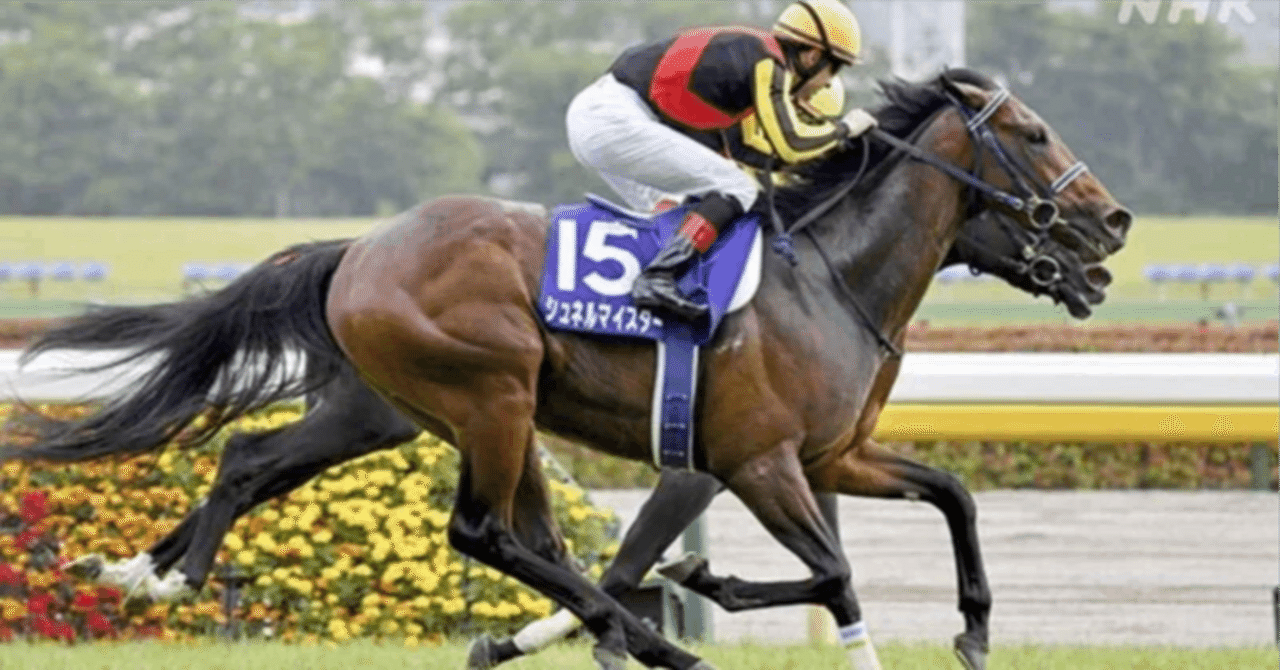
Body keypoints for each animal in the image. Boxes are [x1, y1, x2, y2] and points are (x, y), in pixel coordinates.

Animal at [2, 68, 1130, 670]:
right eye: (1032, 133)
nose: (1112, 223)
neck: (830, 276)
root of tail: (362, 246)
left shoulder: (831, 454)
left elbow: (952, 494)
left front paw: (971, 632)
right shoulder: (757, 460)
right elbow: (832, 568)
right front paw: (703, 580)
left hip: (388, 410)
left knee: (253, 459)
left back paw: (151, 573)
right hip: (489, 394)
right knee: (486, 531)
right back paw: (651, 639)